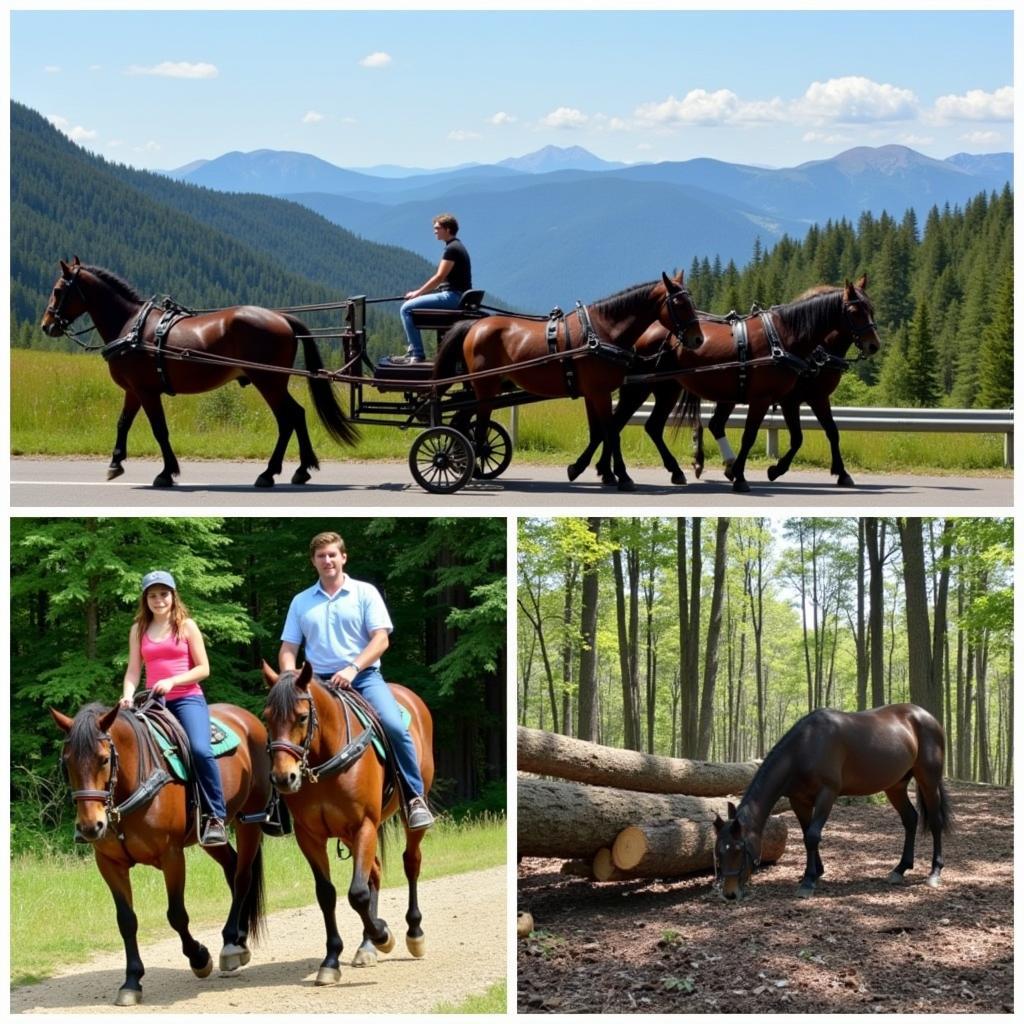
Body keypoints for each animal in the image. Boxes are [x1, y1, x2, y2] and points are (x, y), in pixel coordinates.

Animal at [38, 260, 360, 491]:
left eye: (58, 290)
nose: (46, 325)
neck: (131, 326)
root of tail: (282, 318)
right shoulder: (133, 390)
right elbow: (122, 423)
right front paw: (116, 463)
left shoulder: (146, 391)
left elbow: (159, 430)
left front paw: (166, 472)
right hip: (273, 381)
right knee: (297, 415)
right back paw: (301, 469)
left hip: (267, 380)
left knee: (288, 417)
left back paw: (270, 473)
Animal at [50, 700, 272, 1003]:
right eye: (67, 762)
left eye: (104, 759)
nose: (90, 826)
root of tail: (247, 719)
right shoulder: (108, 863)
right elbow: (126, 920)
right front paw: (132, 981)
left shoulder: (172, 856)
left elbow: (176, 914)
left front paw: (199, 958)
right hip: (209, 838)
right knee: (232, 868)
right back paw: (237, 938)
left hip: (249, 820)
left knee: (242, 878)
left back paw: (230, 945)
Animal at [262, 659, 434, 987]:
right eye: (266, 718)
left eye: (302, 717)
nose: (283, 777)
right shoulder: (309, 836)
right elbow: (327, 894)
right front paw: (332, 960)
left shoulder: (363, 825)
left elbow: (357, 893)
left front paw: (383, 935)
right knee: (375, 872)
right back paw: (367, 946)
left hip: (406, 817)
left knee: (411, 862)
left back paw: (414, 933)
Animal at [432, 270, 704, 489]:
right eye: (679, 303)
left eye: (691, 301)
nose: (698, 339)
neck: (602, 332)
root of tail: (474, 325)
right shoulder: (600, 393)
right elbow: (611, 431)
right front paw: (623, 476)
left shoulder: (592, 393)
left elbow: (599, 432)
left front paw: (586, 469)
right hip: (485, 388)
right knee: (475, 427)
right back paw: (456, 462)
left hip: (482, 389)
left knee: (463, 420)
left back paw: (462, 463)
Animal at [716, 704, 946, 905]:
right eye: (718, 851)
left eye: (739, 849)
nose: (729, 894)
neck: (806, 746)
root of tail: (926, 715)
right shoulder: (799, 800)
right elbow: (806, 836)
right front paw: (815, 873)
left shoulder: (827, 793)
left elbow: (812, 835)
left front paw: (809, 881)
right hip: (896, 786)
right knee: (910, 819)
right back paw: (900, 869)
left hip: (928, 780)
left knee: (936, 821)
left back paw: (934, 872)